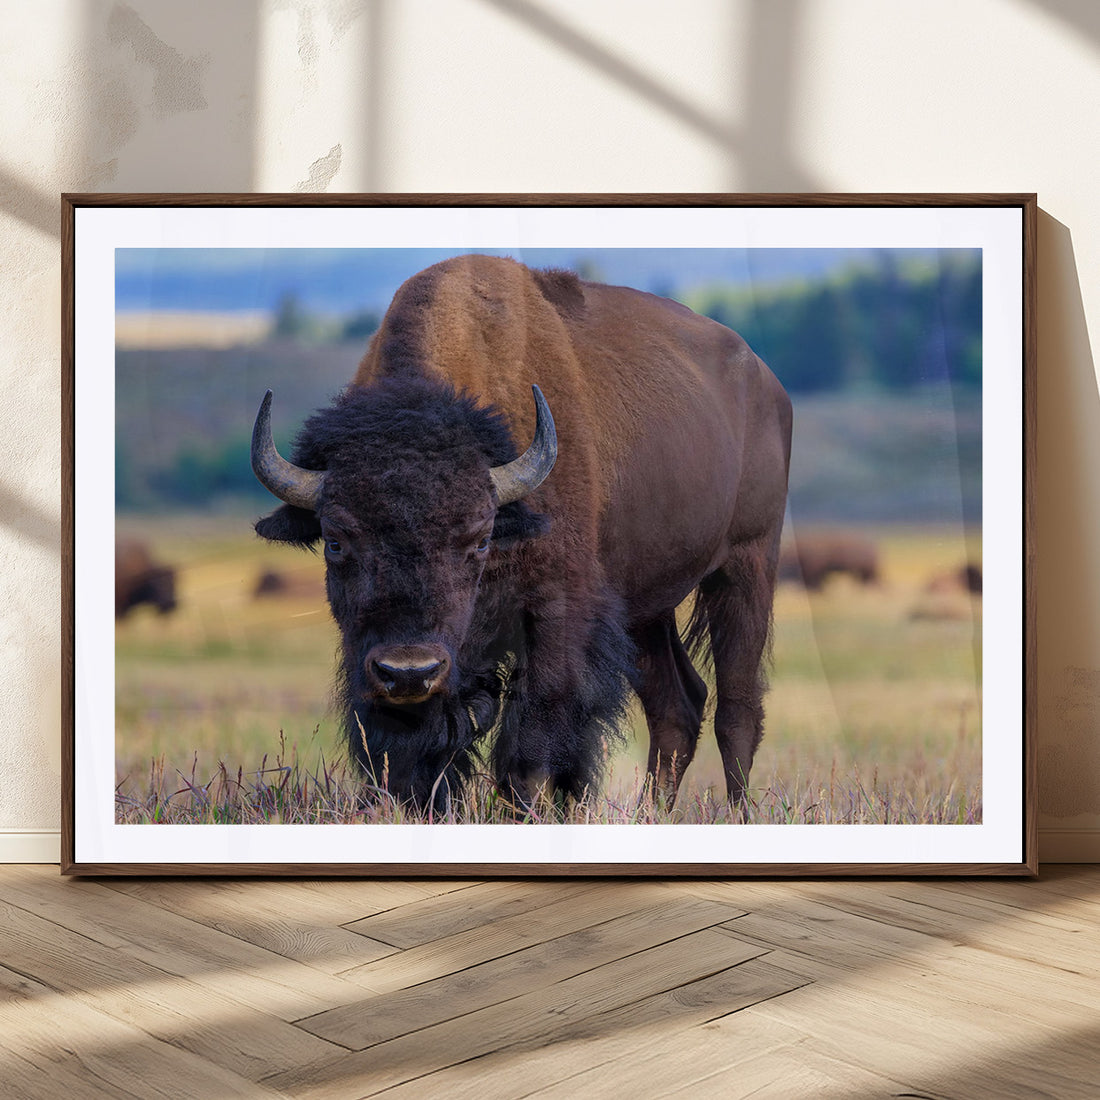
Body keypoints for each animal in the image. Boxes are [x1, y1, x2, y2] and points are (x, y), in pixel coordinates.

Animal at [252, 255, 792, 812]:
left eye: (479, 539)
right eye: (336, 541)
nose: (409, 671)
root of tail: (766, 382)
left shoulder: (555, 614)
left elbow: (532, 746)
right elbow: (412, 757)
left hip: (746, 566)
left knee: (737, 711)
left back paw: (737, 814)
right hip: (647, 606)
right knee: (676, 705)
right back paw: (652, 813)